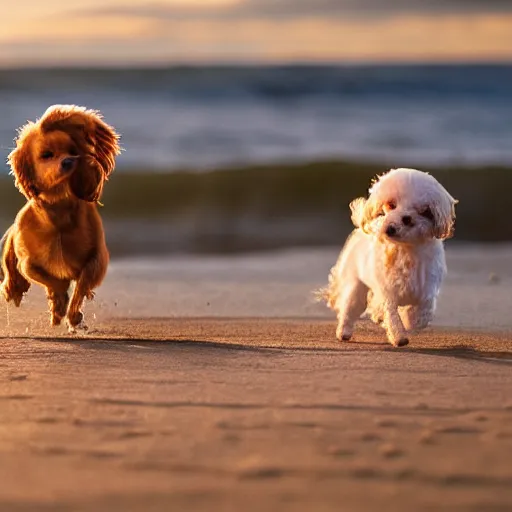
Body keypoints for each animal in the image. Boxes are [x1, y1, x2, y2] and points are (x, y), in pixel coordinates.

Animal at [0, 105, 120, 330]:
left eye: (73, 152)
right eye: (47, 155)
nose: (69, 161)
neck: (60, 209)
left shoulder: (96, 258)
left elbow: (81, 285)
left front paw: (72, 314)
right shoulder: (28, 262)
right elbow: (49, 279)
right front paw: (59, 302)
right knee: (13, 277)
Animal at [322, 168, 458, 348]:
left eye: (423, 211)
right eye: (391, 205)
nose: (392, 227)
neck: (407, 249)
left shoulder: (427, 287)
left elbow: (422, 313)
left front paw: (409, 320)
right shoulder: (388, 291)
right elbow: (392, 315)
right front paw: (399, 337)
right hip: (356, 285)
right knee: (350, 308)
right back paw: (344, 332)